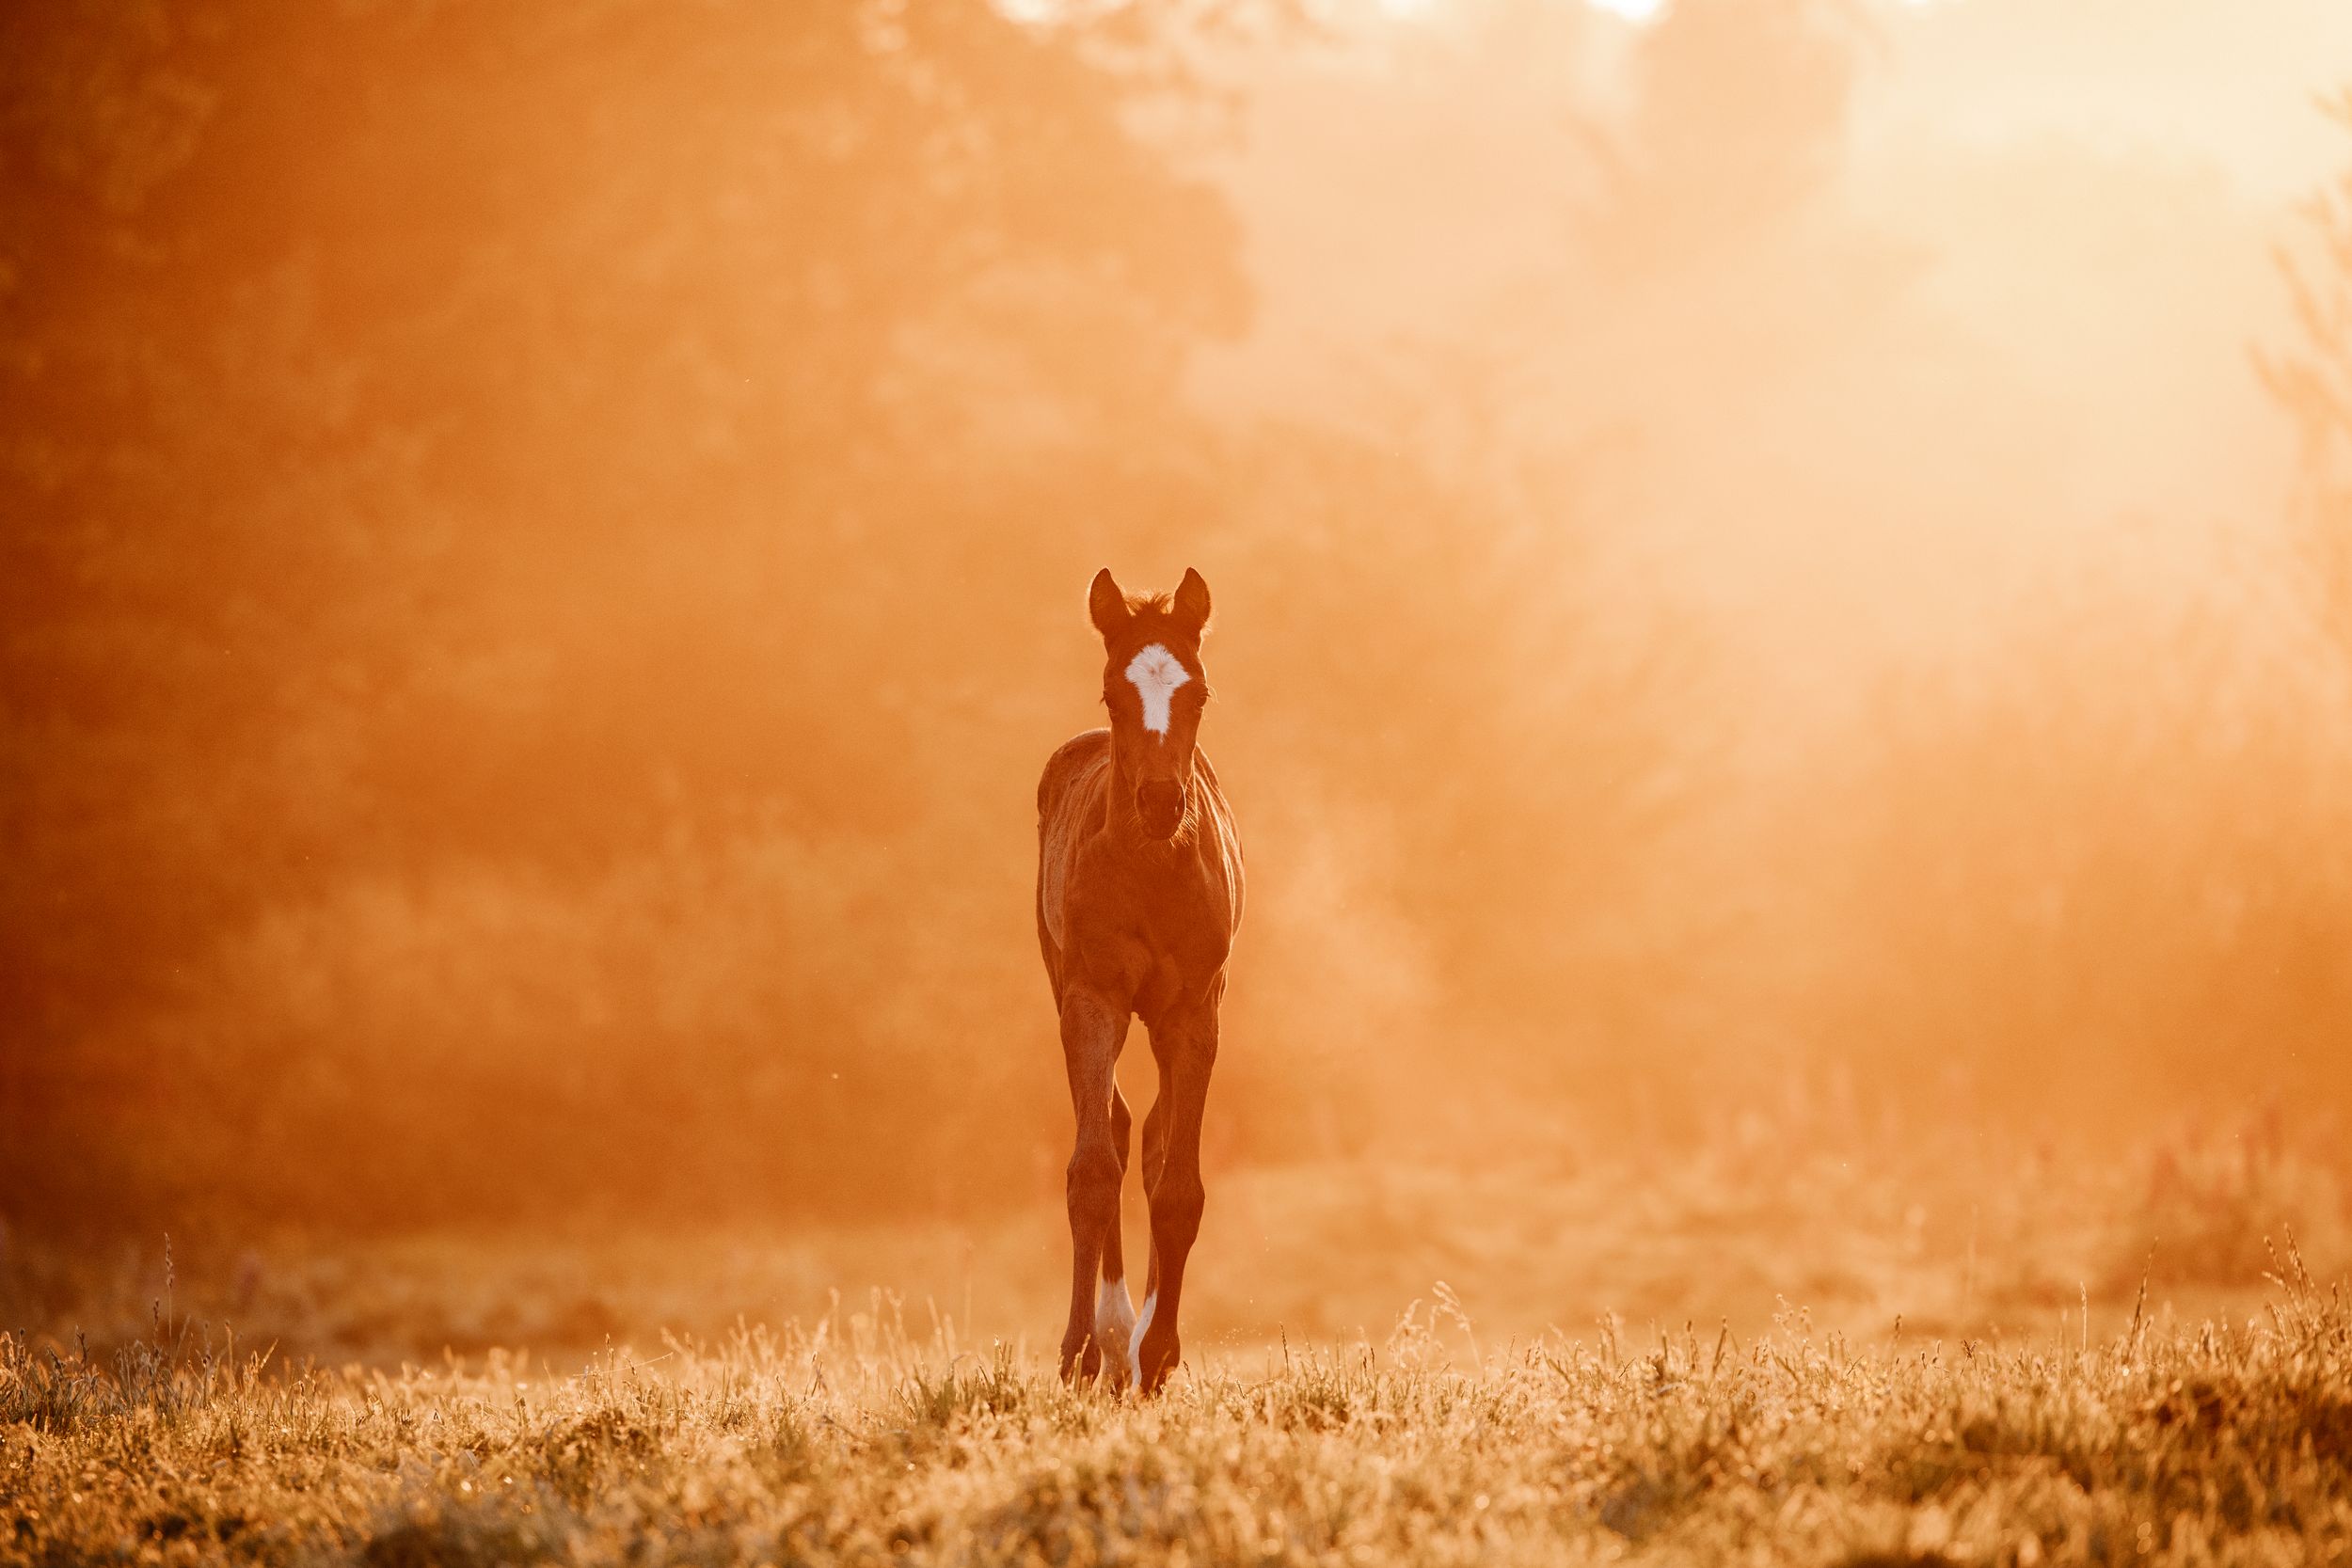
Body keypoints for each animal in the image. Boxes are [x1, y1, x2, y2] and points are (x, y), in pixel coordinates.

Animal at [1035, 567, 1245, 1393]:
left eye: (1200, 693)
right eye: (1113, 695)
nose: (1160, 802)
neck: (1153, 867)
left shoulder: (1194, 1010)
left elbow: (1178, 1185)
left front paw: (1157, 1356)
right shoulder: (1093, 999)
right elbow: (1094, 1169)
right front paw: (1080, 1352)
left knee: (1152, 1140)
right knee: (1121, 1130)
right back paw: (1113, 1330)